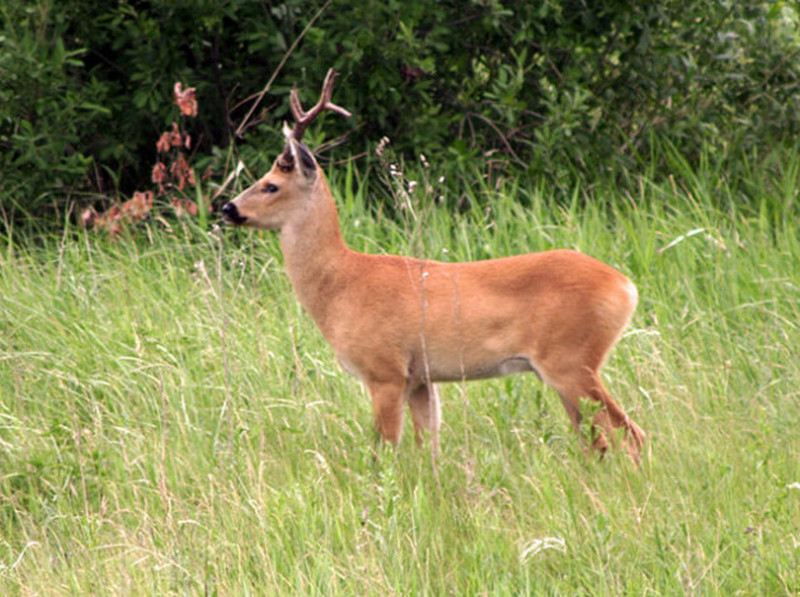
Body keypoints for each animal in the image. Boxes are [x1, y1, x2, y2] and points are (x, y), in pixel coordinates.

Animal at [222, 68, 648, 460]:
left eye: (271, 185)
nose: (227, 207)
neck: (341, 284)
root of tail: (626, 286)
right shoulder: (421, 379)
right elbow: (429, 446)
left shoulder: (385, 369)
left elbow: (385, 448)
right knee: (601, 439)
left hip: (570, 361)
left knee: (628, 434)